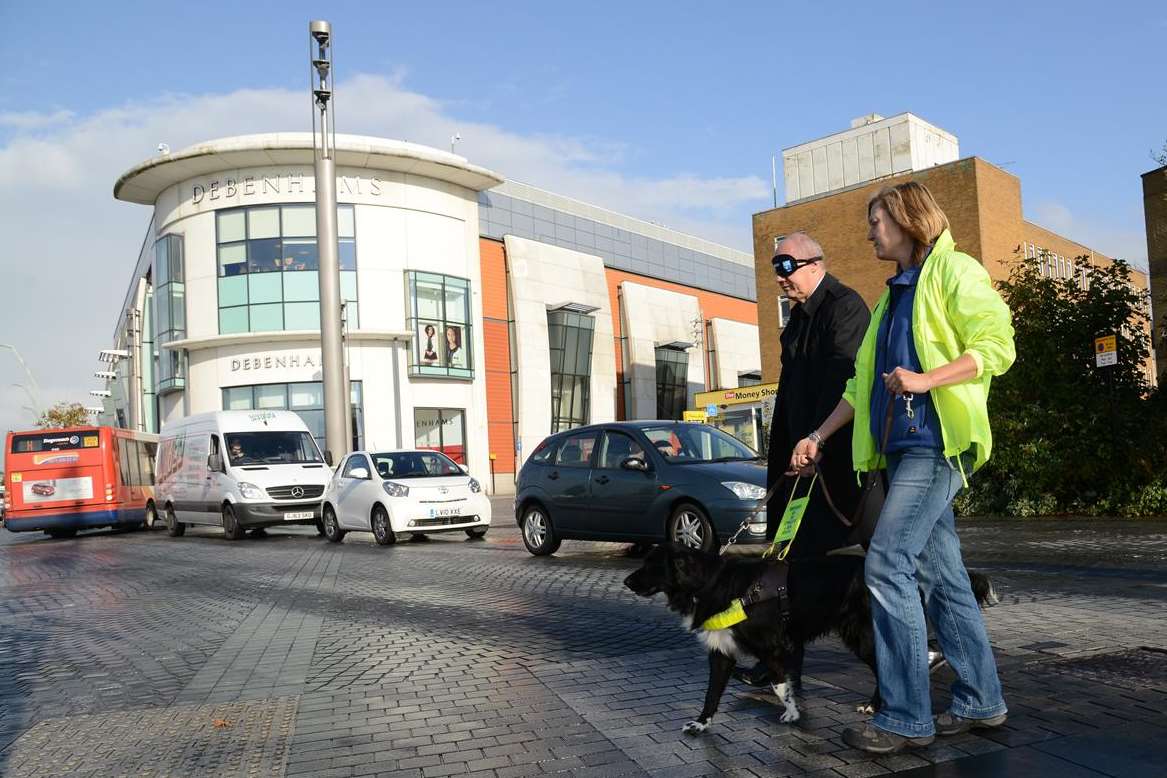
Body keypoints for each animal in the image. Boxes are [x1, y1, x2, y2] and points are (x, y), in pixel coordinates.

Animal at [625, 545, 998, 732]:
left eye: (651, 564)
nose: (627, 581)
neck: (712, 583)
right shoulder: (722, 652)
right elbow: (712, 693)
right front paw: (701, 724)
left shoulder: (775, 645)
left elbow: (779, 683)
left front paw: (792, 713)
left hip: (862, 635)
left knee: (897, 661)